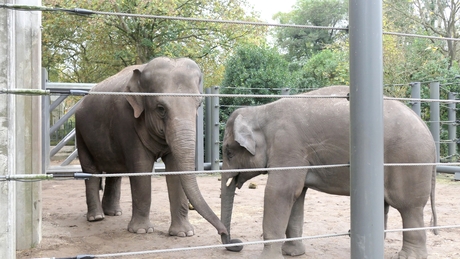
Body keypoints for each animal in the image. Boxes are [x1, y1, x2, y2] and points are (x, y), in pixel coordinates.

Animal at [74, 56, 227, 238]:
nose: (224, 234)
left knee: (114, 171)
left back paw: (113, 213)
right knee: (90, 170)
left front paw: (183, 233)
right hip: (80, 131)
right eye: (161, 108)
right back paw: (97, 217)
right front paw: (141, 231)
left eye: (198, 105)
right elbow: (141, 167)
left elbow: (175, 169)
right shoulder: (126, 121)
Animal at [221, 86, 436, 259]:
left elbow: (280, 192)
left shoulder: (287, 146)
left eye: (229, 153)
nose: (236, 243)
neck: (261, 111)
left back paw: (409, 256)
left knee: (409, 207)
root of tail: (428, 131)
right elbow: (297, 197)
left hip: (409, 161)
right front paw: (292, 253)